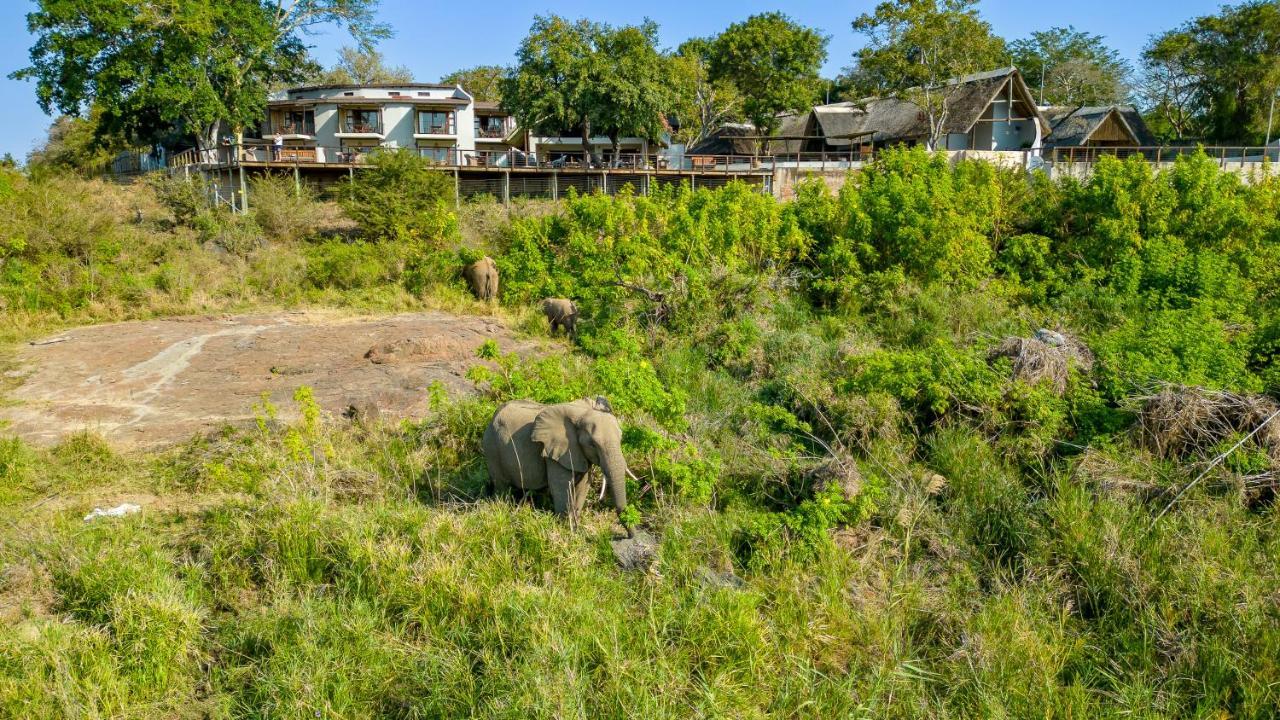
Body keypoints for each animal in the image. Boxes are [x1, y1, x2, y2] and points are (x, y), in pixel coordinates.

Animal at [481, 392, 632, 532]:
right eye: (592, 444)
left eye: (620, 439)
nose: (630, 534)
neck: (581, 413)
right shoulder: (555, 452)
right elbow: (561, 487)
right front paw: (566, 528)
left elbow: (582, 487)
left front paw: (575, 527)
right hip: (492, 447)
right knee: (502, 486)